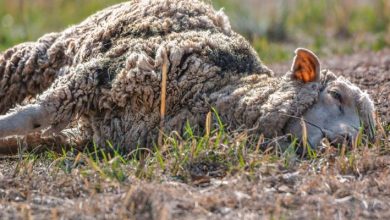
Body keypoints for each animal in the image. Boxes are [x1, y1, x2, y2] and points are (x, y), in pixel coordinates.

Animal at [0, 0, 374, 153]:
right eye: (336, 95)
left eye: (370, 134)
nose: (348, 140)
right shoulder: (102, 73)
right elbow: (33, 114)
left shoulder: (99, 133)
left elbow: (39, 132)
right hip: (49, 52)